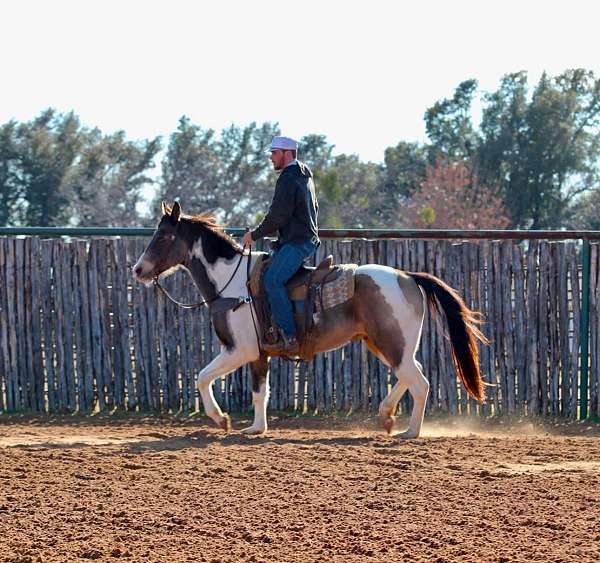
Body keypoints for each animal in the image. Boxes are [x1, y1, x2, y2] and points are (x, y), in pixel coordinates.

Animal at [132, 203, 488, 440]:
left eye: (163, 235)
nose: (138, 270)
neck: (230, 282)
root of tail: (408, 276)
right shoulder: (258, 355)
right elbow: (260, 392)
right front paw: (256, 428)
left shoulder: (238, 350)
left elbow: (202, 377)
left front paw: (221, 420)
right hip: (385, 342)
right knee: (410, 375)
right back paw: (387, 417)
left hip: (391, 342)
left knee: (419, 382)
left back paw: (410, 432)